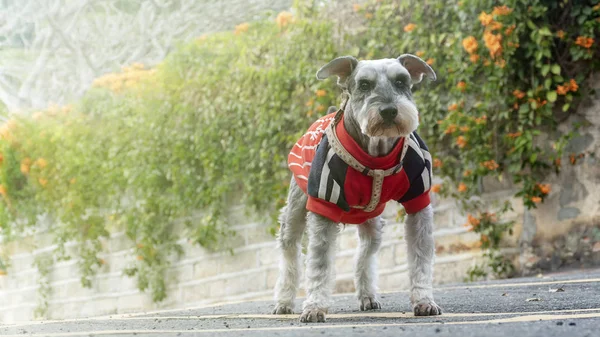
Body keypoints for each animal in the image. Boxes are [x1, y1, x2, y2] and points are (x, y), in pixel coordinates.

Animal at [272, 53, 440, 322]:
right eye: (364, 85)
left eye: (401, 81)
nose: (389, 110)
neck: (376, 153)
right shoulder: (323, 206)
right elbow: (319, 264)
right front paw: (314, 307)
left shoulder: (419, 202)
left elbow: (420, 259)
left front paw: (424, 301)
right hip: (295, 212)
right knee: (289, 253)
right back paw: (284, 301)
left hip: (373, 224)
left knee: (364, 255)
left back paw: (368, 296)